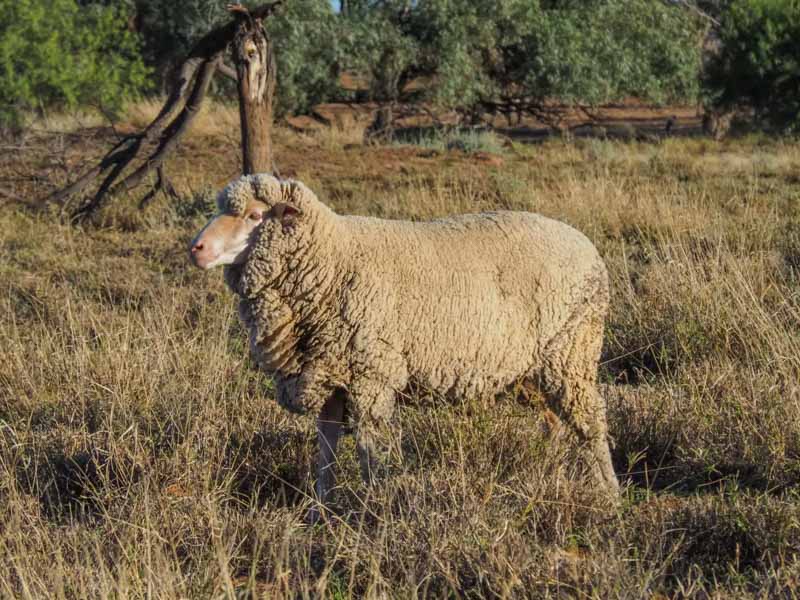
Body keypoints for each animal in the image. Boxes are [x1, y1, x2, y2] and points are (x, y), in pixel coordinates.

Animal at [189, 173, 618, 517]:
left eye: (254, 216)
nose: (197, 248)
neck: (333, 261)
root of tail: (588, 247)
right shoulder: (330, 372)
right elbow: (326, 449)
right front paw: (321, 508)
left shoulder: (371, 374)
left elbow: (369, 449)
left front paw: (374, 507)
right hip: (533, 367)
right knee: (555, 424)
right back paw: (552, 474)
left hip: (572, 350)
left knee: (591, 422)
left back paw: (608, 493)